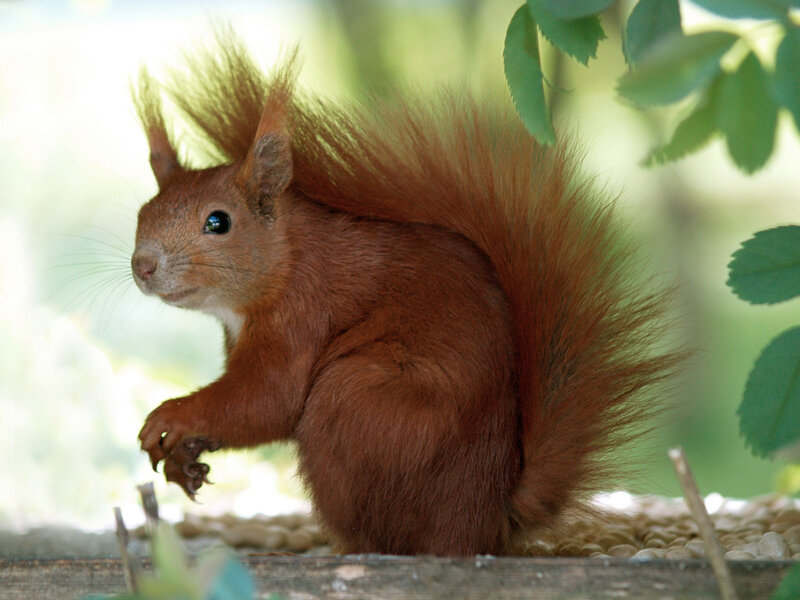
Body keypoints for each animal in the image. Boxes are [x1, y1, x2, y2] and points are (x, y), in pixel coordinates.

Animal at [130, 31, 678, 556]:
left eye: (218, 222)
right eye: (143, 212)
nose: (143, 266)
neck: (285, 260)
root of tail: (490, 517)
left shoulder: (301, 314)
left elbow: (265, 400)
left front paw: (170, 416)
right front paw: (183, 460)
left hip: (358, 405)